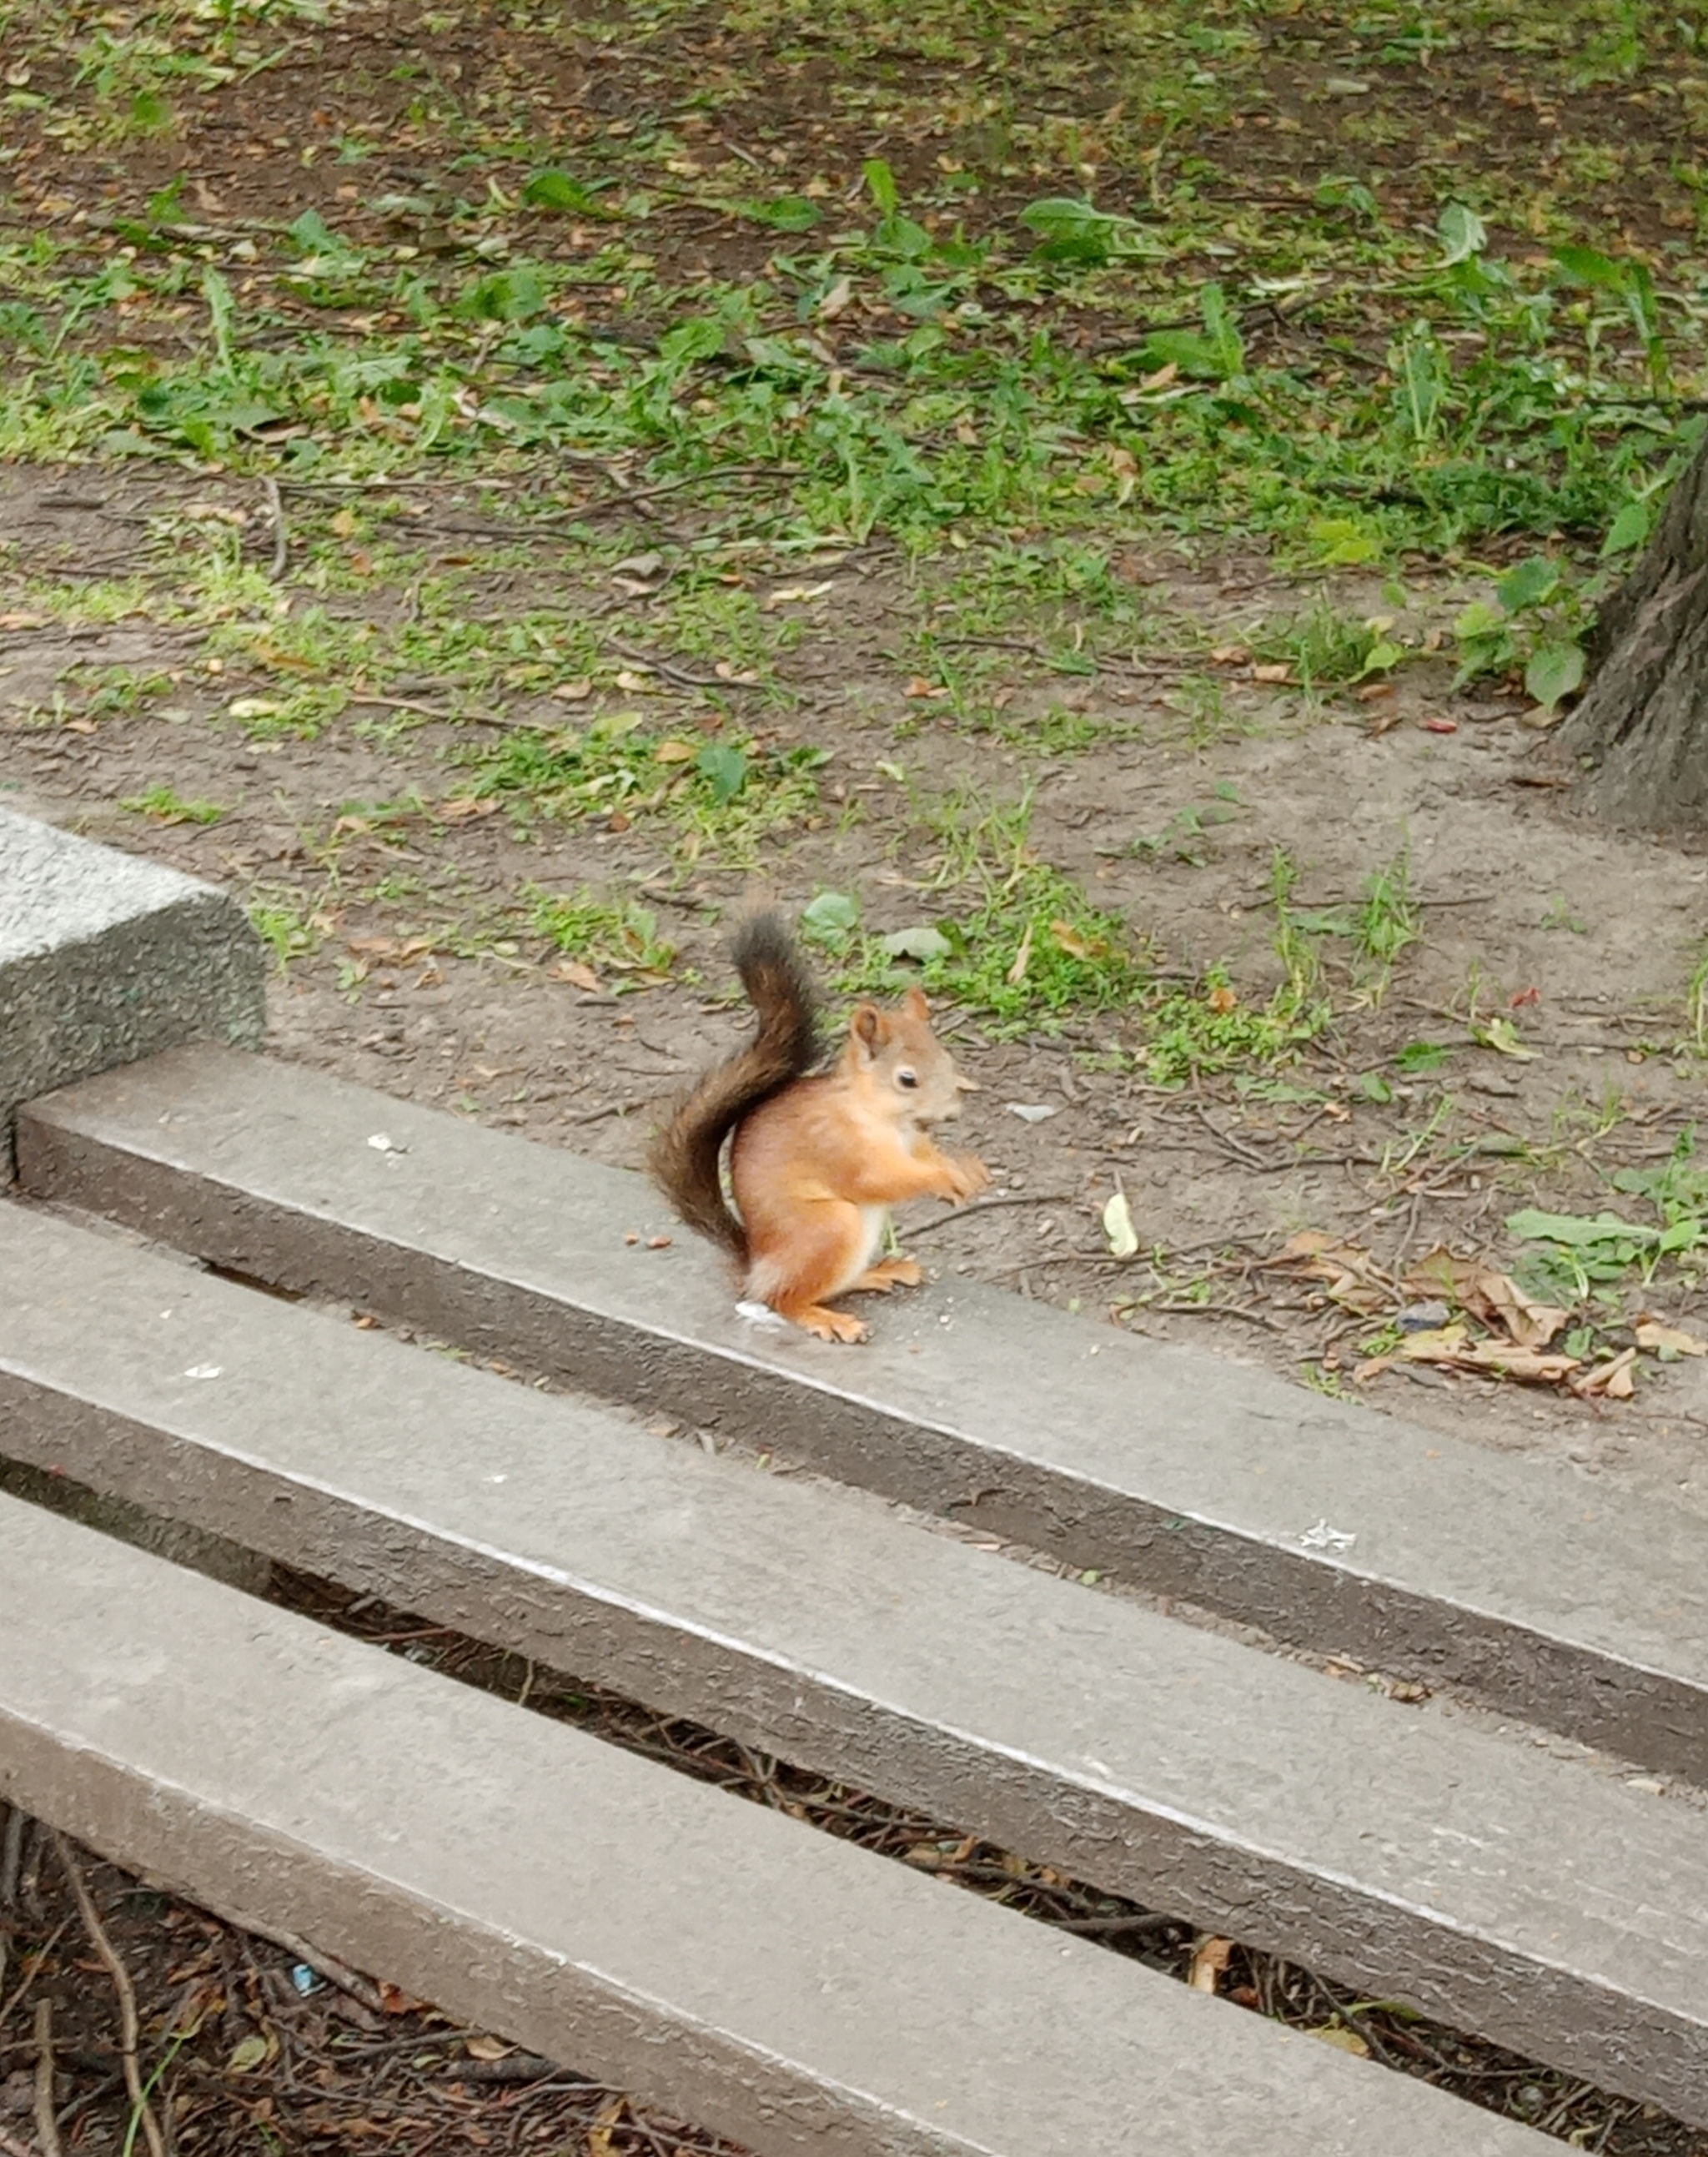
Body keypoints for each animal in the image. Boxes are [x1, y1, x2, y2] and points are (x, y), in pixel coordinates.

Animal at [642, 914, 992, 1345]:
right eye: (907, 1080)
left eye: (948, 1060)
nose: (952, 1114)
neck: (884, 1117)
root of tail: (757, 1266)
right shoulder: (838, 1145)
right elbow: (879, 1179)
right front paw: (943, 1179)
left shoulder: (913, 1142)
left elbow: (926, 1156)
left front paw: (966, 1171)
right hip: (829, 1228)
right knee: (782, 1299)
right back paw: (827, 1319)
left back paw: (878, 1273)